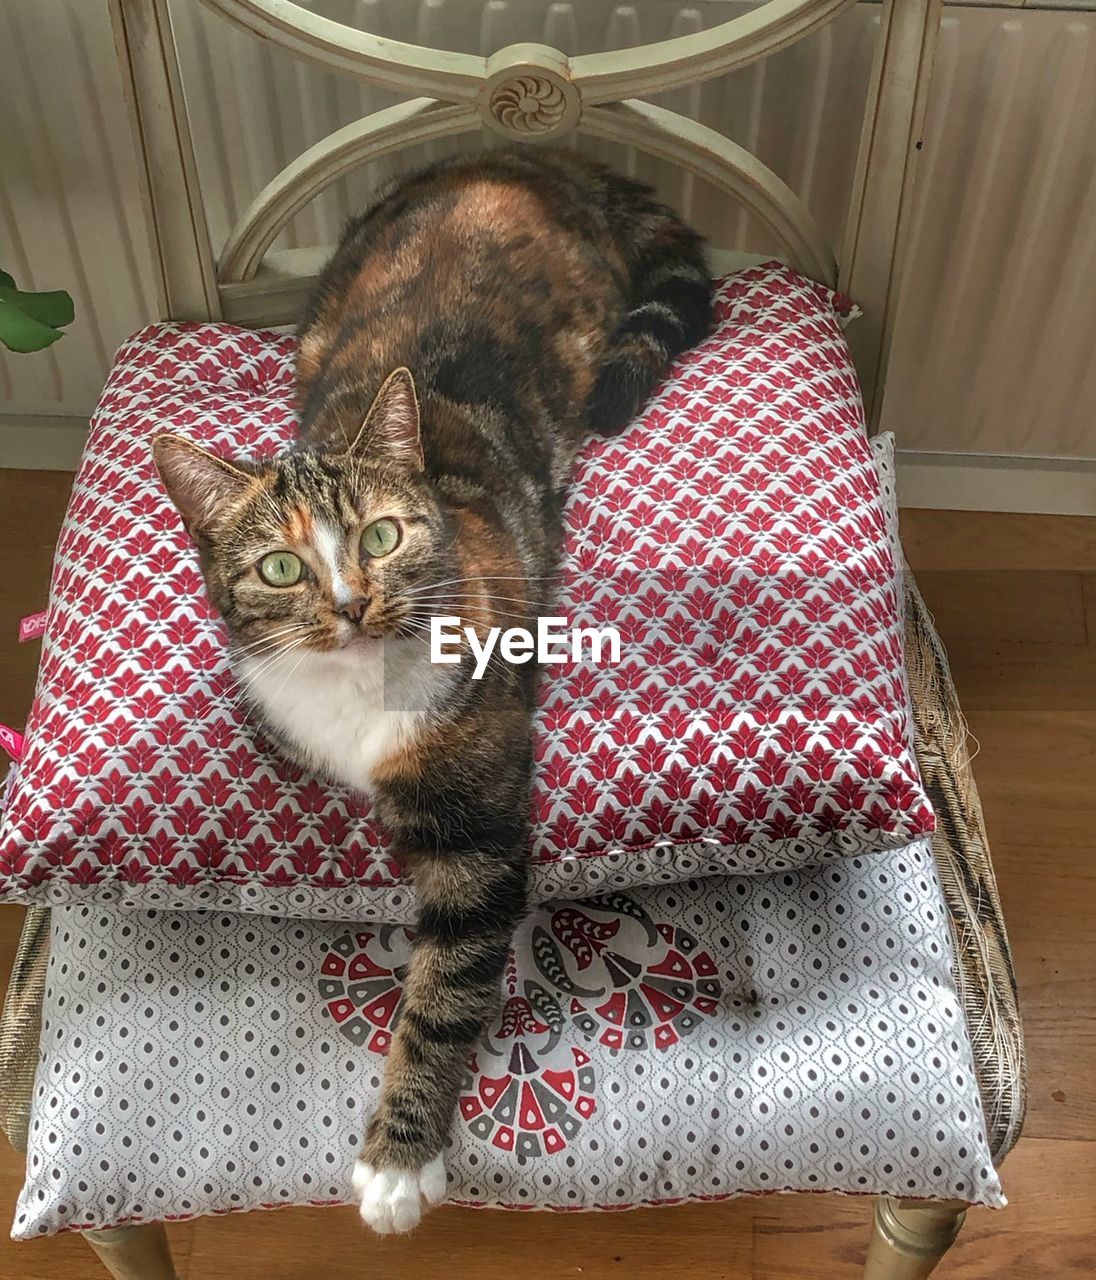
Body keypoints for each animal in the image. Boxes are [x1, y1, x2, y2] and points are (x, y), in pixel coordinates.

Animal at [151, 147, 711, 1228]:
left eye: (381, 535)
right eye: (279, 568)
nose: (351, 602)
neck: (358, 682)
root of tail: (527, 157)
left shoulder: (471, 810)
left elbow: (446, 978)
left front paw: (399, 1161)